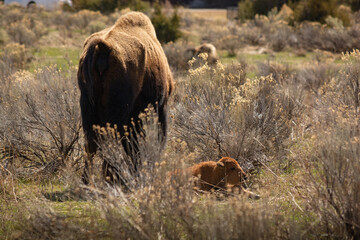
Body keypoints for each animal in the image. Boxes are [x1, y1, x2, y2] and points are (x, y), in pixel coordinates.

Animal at [77, 11, 174, 185]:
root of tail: (103, 46)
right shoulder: (161, 106)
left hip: (87, 105)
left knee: (91, 144)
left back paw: (88, 182)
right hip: (119, 112)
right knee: (113, 143)